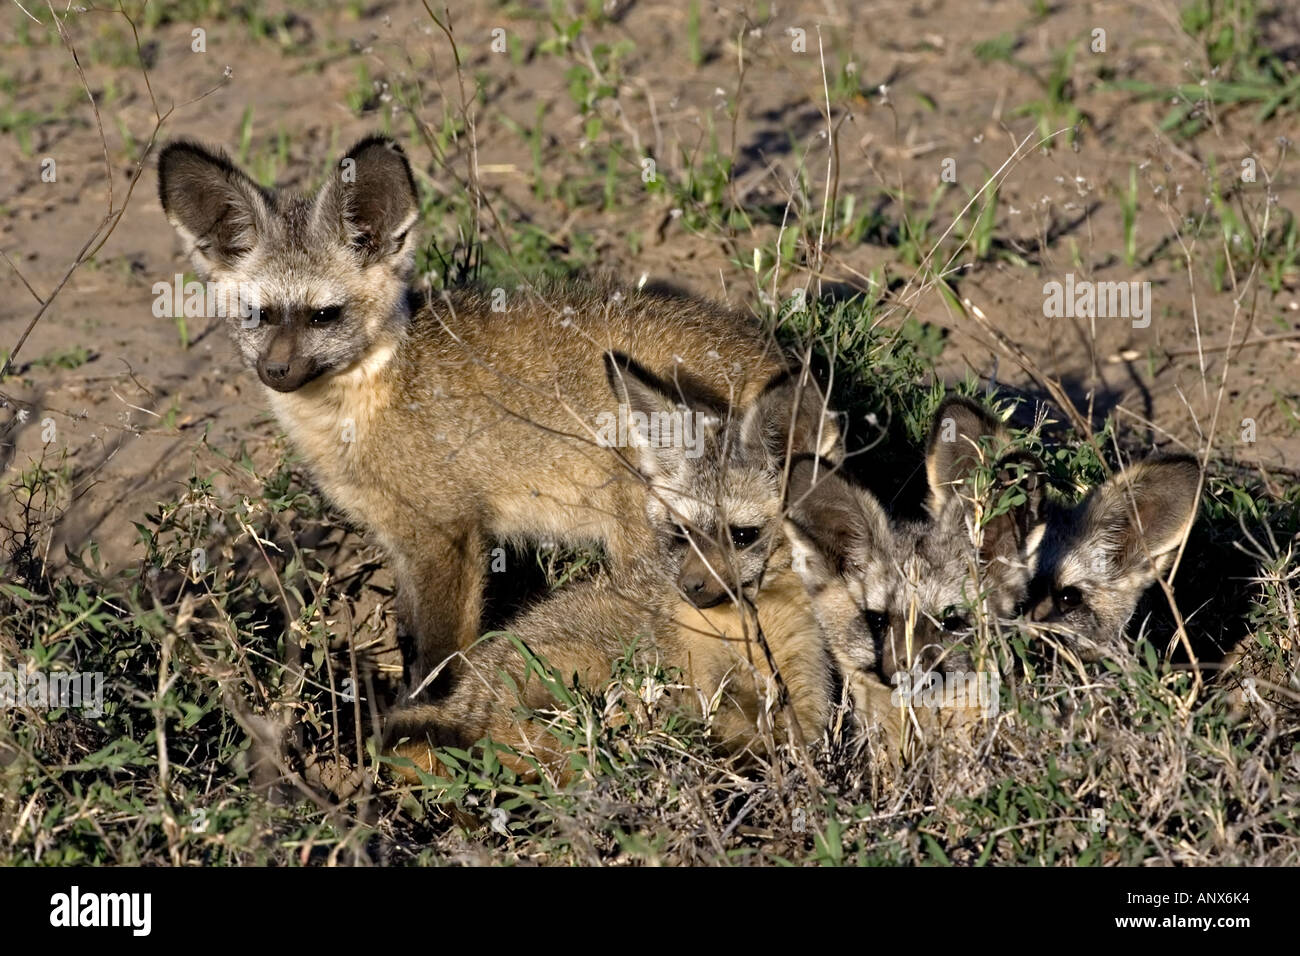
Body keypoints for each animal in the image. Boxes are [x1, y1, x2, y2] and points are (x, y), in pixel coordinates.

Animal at [156, 134, 839, 695]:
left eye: (324, 316)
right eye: (258, 315)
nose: (275, 371)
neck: (367, 403)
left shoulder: (446, 535)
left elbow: (436, 661)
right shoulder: (402, 541)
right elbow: (409, 641)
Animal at [385, 358, 834, 782]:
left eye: (742, 536)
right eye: (680, 533)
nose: (690, 586)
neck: (746, 633)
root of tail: (458, 707)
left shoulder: (806, 699)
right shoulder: (703, 689)